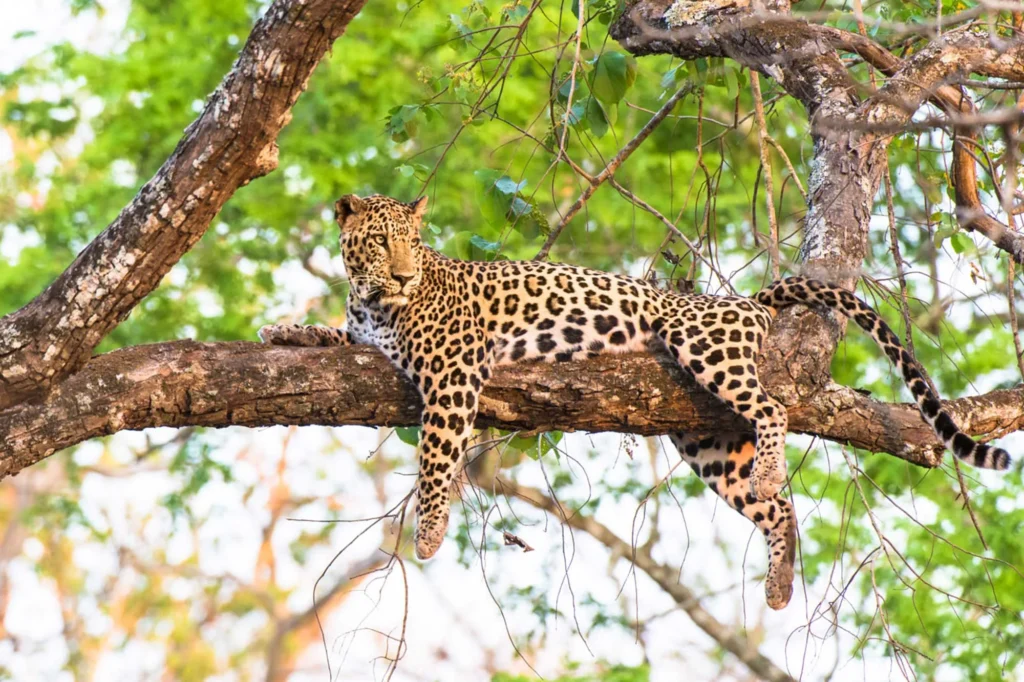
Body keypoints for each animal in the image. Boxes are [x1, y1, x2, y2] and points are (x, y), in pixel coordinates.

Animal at [260, 193, 1011, 610]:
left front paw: (429, 532)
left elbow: (436, 458)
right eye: (380, 242)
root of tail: (739, 300)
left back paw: (773, 478)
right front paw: (284, 331)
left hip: (700, 346)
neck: (375, 301)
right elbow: (330, 334)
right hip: (709, 443)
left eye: (413, 243)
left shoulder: (452, 373)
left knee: (772, 411)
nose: (404, 274)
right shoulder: (365, 334)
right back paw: (779, 583)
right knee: (778, 507)